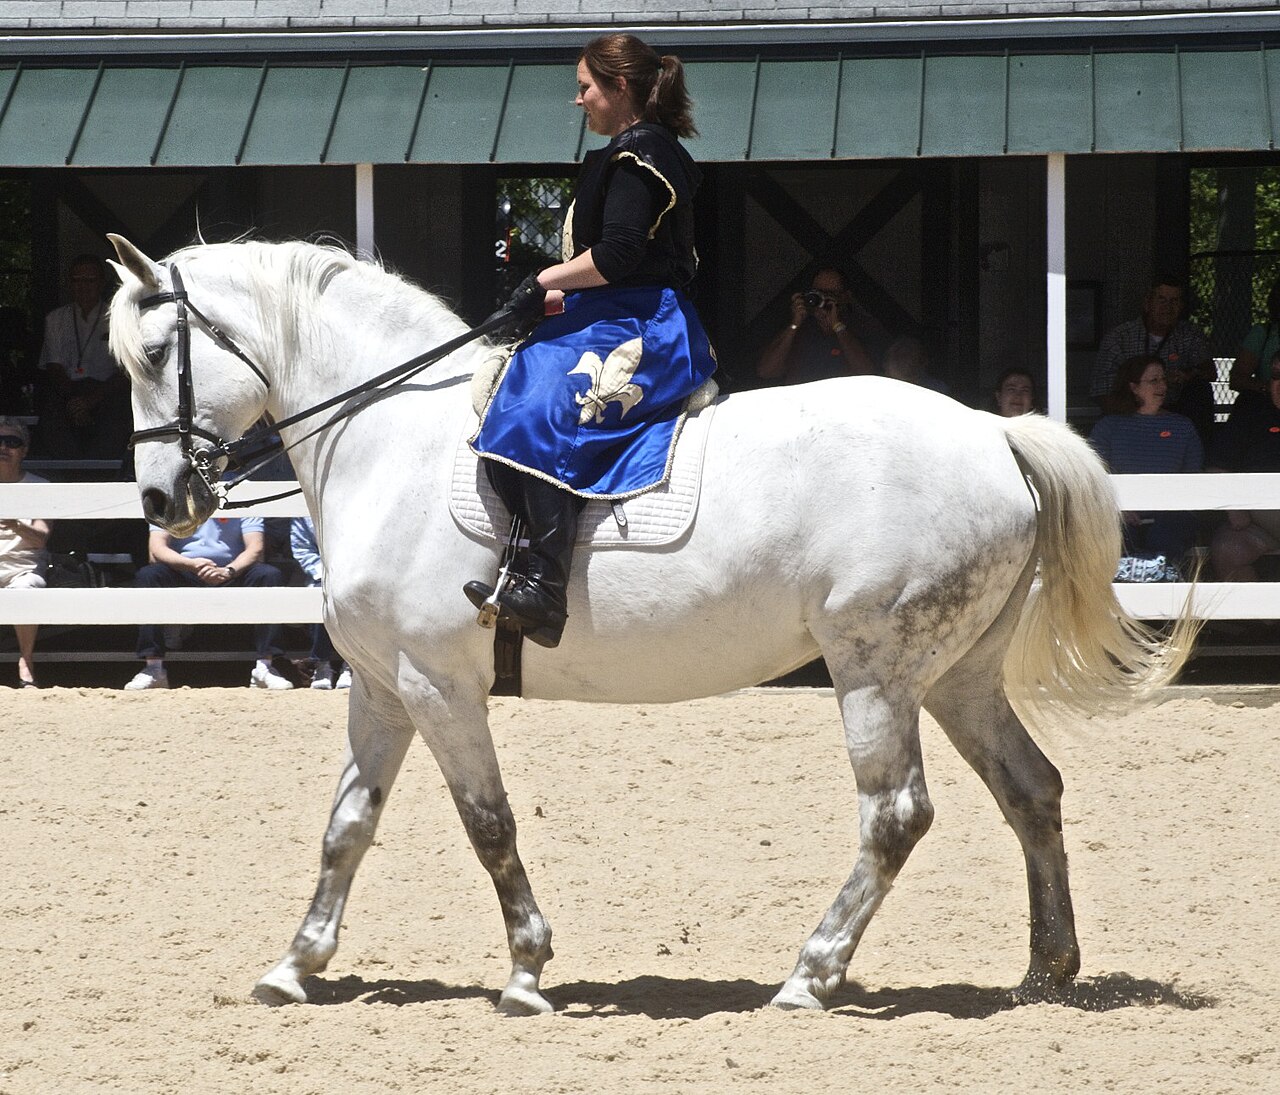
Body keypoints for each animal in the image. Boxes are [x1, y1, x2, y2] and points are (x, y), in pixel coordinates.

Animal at [105, 233, 1194, 1015]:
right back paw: (1044, 971)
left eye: (157, 354)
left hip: (875, 673)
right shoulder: (382, 687)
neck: (386, 438)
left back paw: (809, 975)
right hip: (957, 678)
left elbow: (487, 824)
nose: (162, 503)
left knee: (895, 815)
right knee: (1031, 790)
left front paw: (526, 973)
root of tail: (994, 433)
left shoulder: (438, 685)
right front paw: (295, 965)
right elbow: (345, 828)